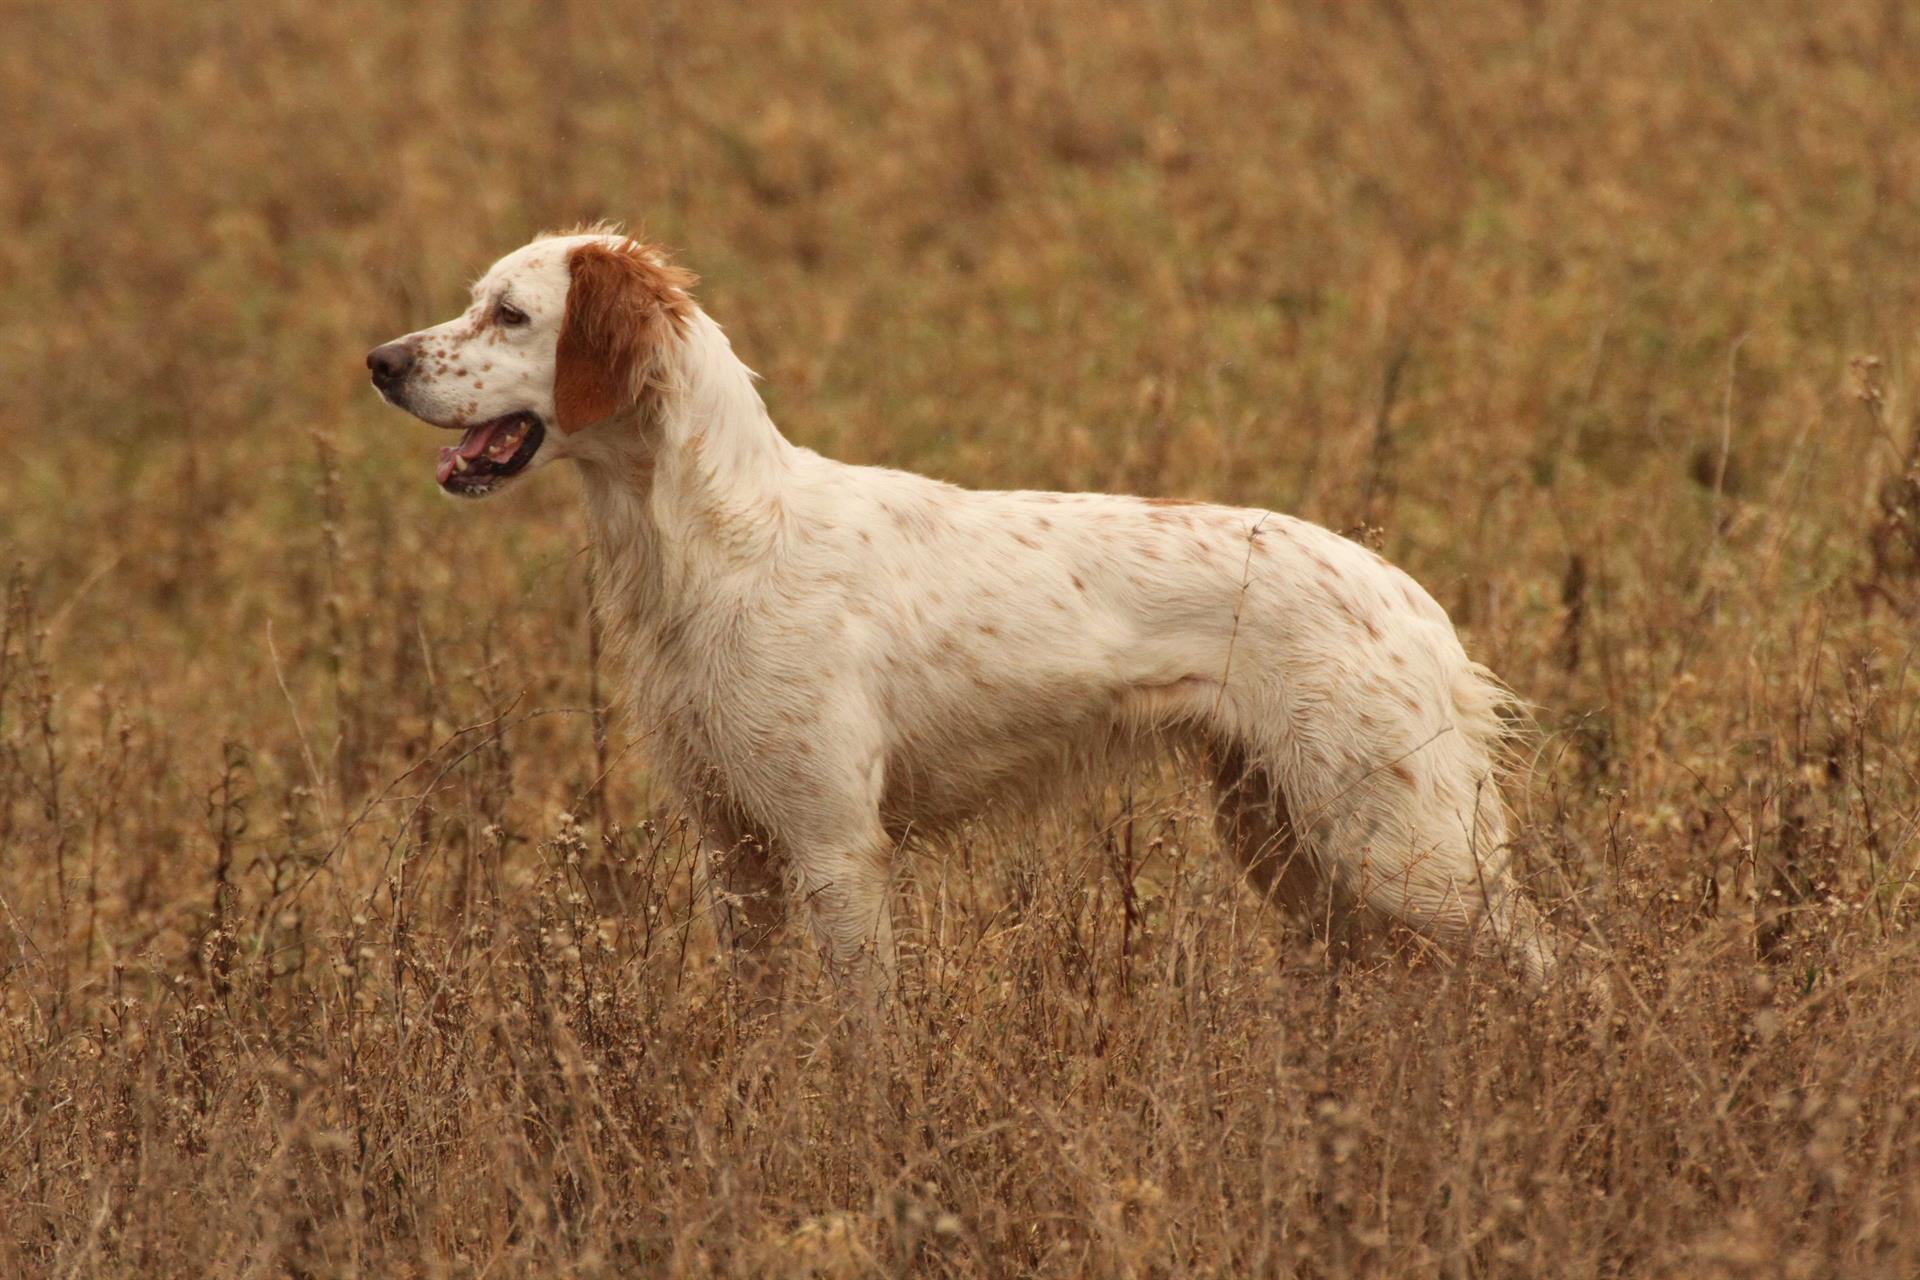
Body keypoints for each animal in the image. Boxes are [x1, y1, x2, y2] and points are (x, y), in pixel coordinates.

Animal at [370, 227, 1559, 990]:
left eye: (510, 313)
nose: (379, 361)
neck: (717, 542)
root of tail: (1410, 597)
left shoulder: (836, 847)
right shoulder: (736, 851)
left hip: (1407, 854)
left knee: (1560, 971)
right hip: (1293, 844)